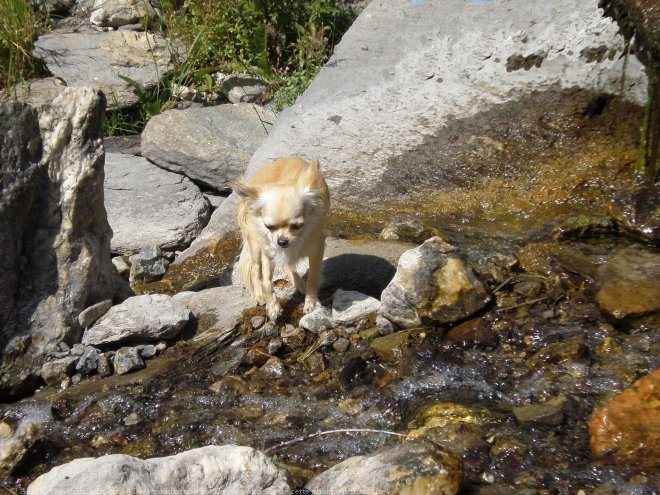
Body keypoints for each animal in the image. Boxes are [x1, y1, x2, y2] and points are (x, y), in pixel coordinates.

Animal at [235, 159, 332, 322]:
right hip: (255, 243)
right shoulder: (268, 251)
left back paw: (299, 283)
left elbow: (313, 277)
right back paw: (259, 296)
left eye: (297, 226)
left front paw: (311, 302)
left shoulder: (317, 248)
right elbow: (267, 281)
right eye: (269, 227)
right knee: (255, 270)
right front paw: (273, 306)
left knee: (288, 266)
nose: (282, 241)